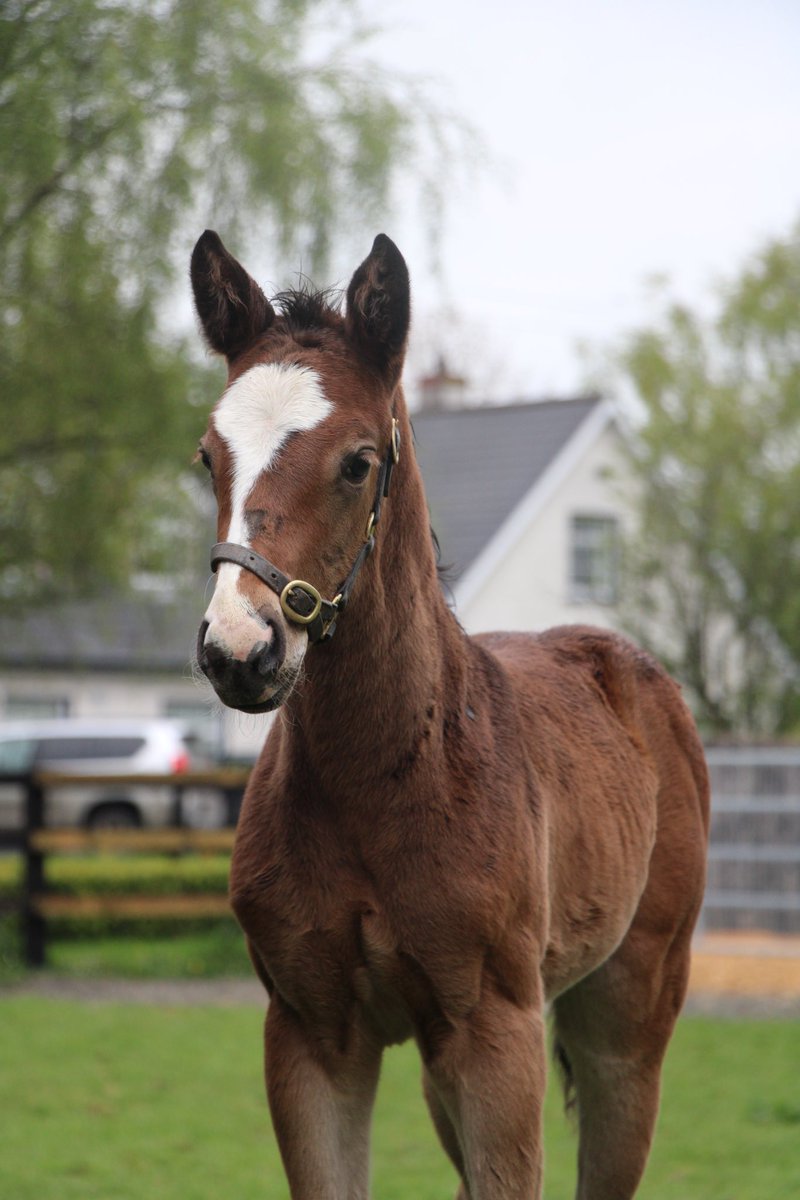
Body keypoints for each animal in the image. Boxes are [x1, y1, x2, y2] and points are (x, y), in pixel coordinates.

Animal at [190, 230, 709, 1200]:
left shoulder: (494, 1036)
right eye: (208, 455)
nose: (240, 650)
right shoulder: (310, 1035)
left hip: (628, 1021)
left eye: (358, 461)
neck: (390, 776)